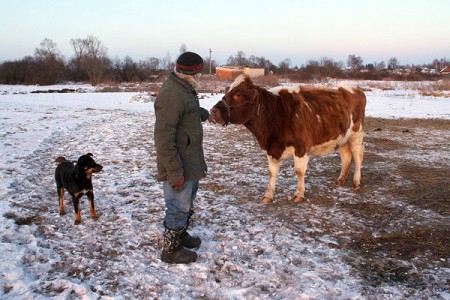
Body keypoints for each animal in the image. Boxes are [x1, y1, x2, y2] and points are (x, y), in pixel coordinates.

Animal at [211, 74, 366, 204]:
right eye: (226, 91)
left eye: (238, 94)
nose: (213, 112)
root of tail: (354, 88)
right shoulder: (272, 149)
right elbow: (272, 172)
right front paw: (268, 195)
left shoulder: (301, 147)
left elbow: (299, 171)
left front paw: (299, 194)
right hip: (342, 138)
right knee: (346, 157)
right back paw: (340, 180)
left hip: (356, 134)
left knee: (357, 156)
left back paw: (356, 182)